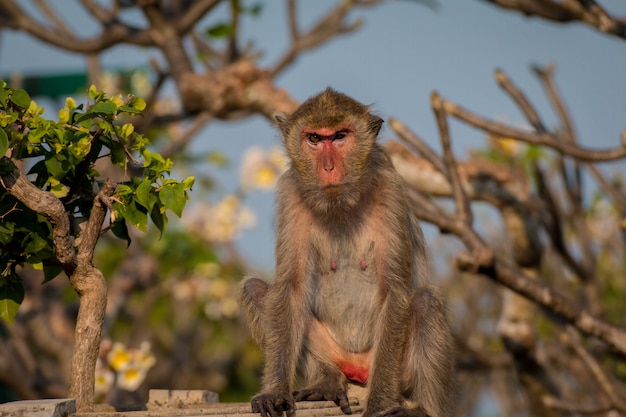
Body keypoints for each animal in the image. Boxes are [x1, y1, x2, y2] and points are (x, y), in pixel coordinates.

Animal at [240, 88, 454, 416]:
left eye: (340, 136)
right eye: (315, 139)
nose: (328, 168)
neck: (341, 203)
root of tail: (360, 369)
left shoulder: (389, 189)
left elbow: (394, 291)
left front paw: (379, 406)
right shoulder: (291, 191)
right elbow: (290, 289)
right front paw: (275, 392)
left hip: (396, 367)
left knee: (425, 302)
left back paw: (422, 409)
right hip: (338, 355)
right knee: (256, 290)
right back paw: (327, 380)